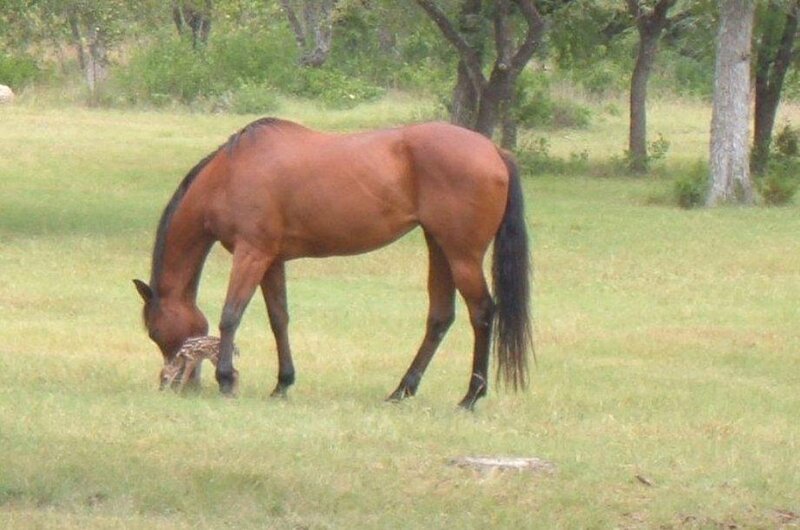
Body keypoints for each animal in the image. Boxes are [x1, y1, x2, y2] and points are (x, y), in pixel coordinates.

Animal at [133, 117, 532, 410]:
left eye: (155, 332)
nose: (174, 384)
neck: (229, 174)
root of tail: (494, 150)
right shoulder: (271, 260)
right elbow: (279, 319)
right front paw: (282, 384)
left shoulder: (252, 254)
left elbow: (231, 315)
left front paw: (227, 379)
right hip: (440, 247)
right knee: (440, 317)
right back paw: (401, 391)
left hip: (462, 254)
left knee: (482, 313)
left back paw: (470, 397)